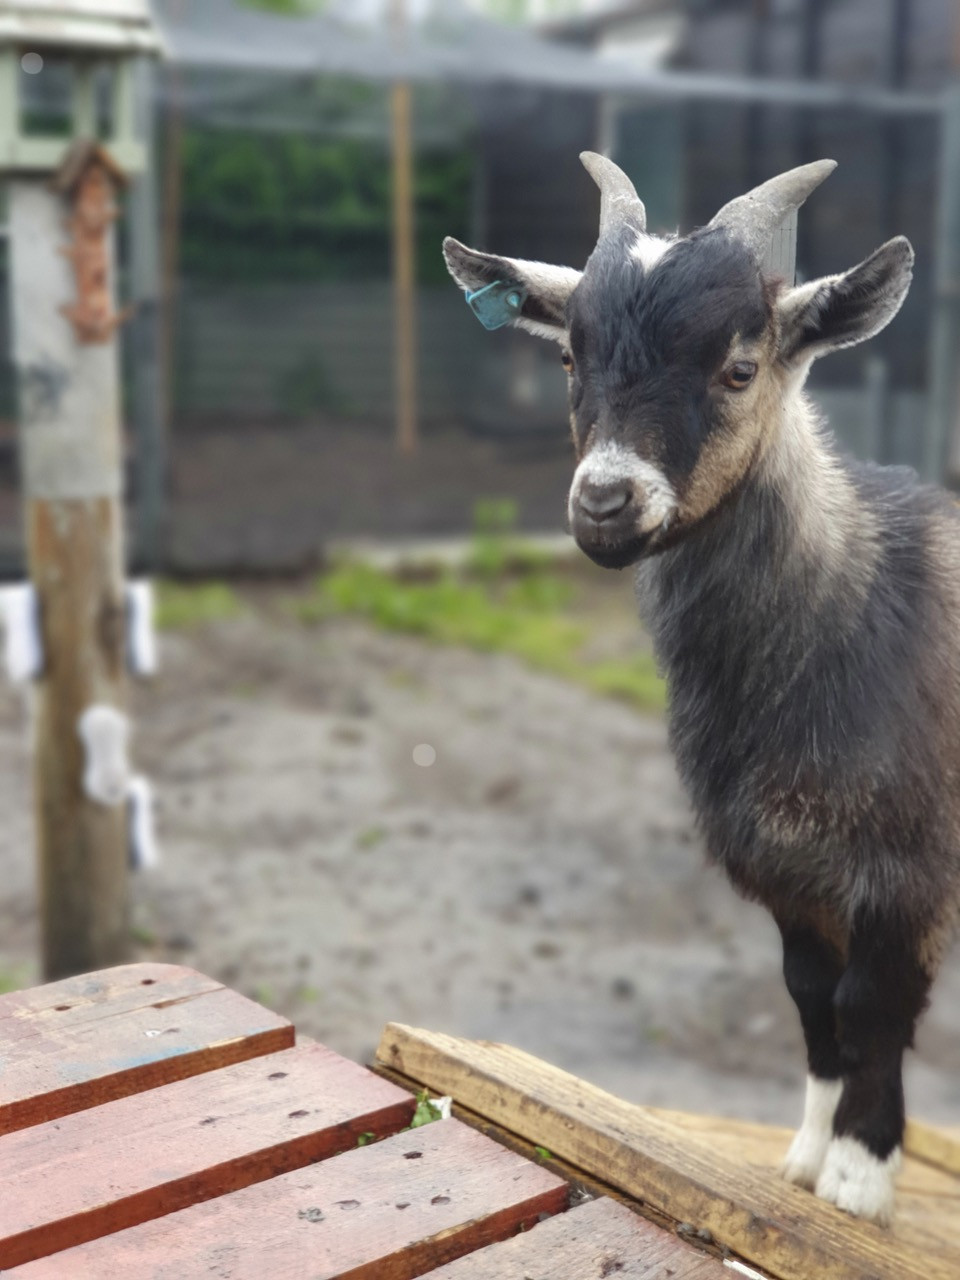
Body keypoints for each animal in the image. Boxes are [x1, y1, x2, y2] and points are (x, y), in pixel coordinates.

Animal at [443, 154, 960, 1227]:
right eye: (570, 359)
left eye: (739, 367)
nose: (605, 502)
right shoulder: (786, 869)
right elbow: (810, 994)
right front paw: (807, 1154)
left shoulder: (909, 862)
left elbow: (874, 1003)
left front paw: (860, 1176)